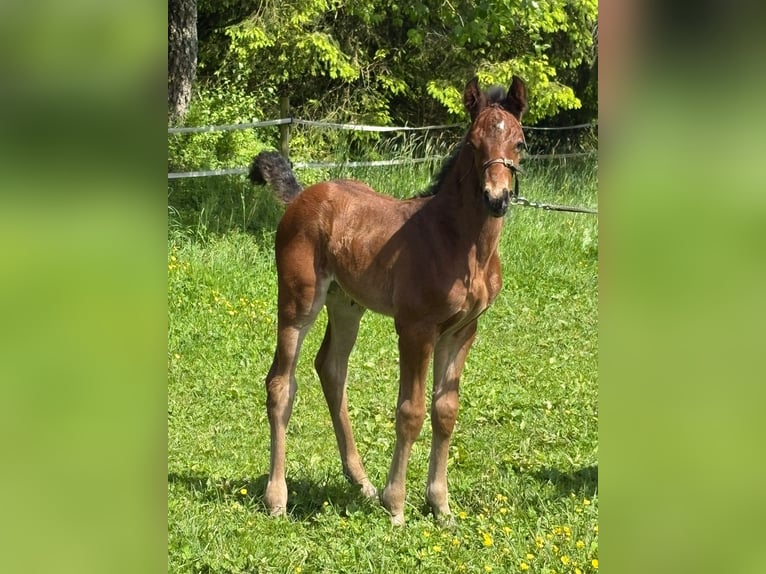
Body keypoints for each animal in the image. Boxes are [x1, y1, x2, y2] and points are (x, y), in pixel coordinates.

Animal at [248, 76, 528, 525]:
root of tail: (302, 196)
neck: (458, 243)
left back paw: (361, 482)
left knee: (331, 369)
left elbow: (445, 410)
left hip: (346, 304)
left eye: (519, 142)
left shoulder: (463, 330)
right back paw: (277, 497)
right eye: (473, 144)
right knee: (280, 383)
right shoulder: (415, 328)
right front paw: (396, 505)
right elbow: (410, 411)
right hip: (298, 301)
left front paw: (440, 505)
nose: (496, 198)